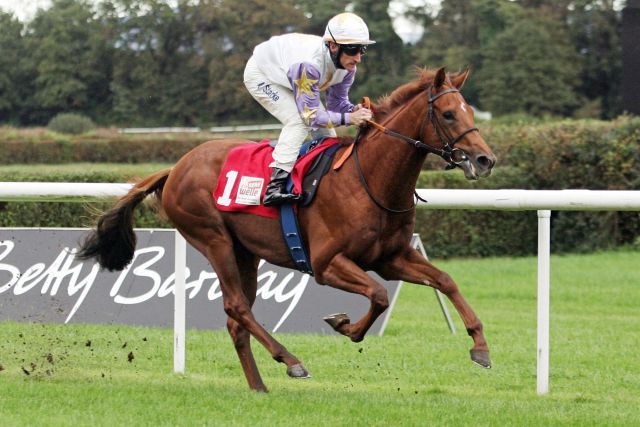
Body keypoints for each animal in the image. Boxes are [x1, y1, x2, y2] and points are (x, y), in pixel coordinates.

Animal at [79, 68, 496, 392]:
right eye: (447, 114)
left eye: (468, 110)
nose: (485, 159)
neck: (370, 180)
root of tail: (177, 166)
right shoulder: (327, 263)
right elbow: (378, 295)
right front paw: (344, 325)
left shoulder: (391, 257)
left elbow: (444, 280)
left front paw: (480, 346)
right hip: (212, 238)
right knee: (235, 306)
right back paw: (291, 360)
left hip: (244, 252)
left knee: (237, 319)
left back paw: (259, 386)